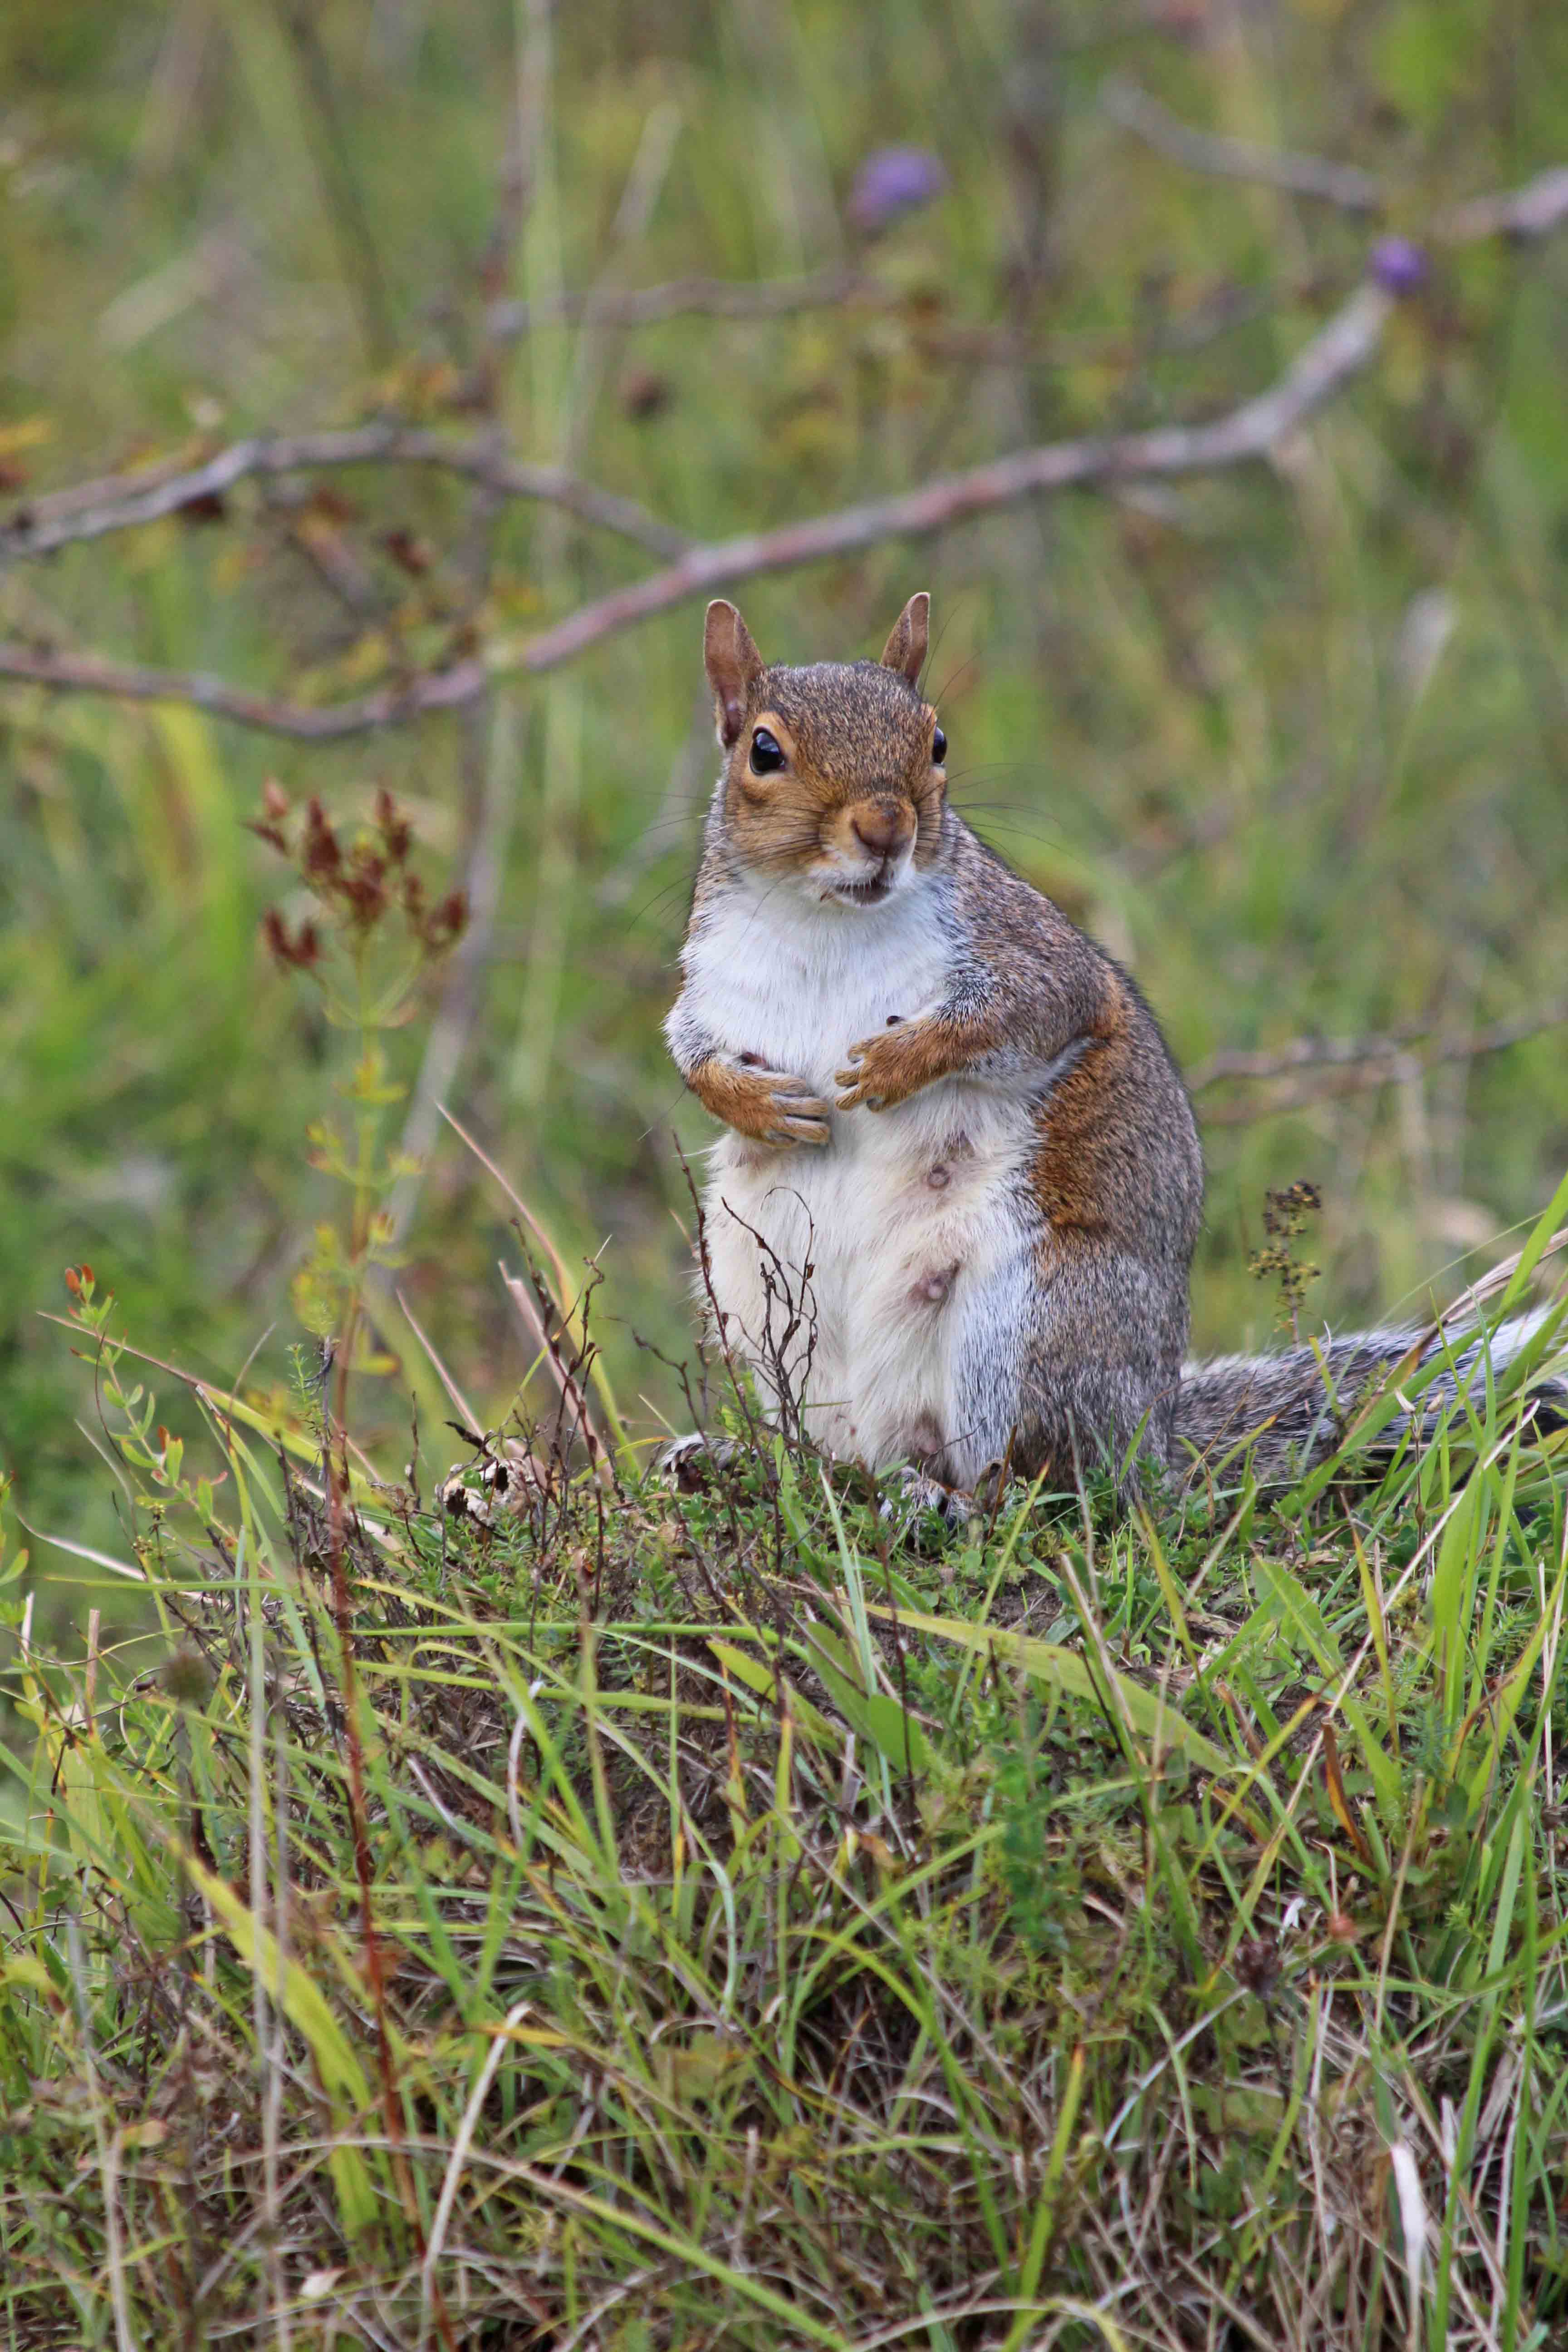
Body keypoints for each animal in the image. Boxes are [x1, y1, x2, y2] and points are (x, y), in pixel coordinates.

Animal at [664, 592, 1561, 1499]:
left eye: (937, 741)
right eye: (763, 750)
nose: (886, 827)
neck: (825, 922)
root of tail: (1152, 1434)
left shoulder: (1033, 956)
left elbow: (1019, 1016)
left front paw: (894, 1062)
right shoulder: (709, 982)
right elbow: (689, 1051)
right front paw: (756, 1103)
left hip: (1031, 1322)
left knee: (1040, 1481)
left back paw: (943, 1500)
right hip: (753, 1292)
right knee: (843, 1459)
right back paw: (749, 1459)